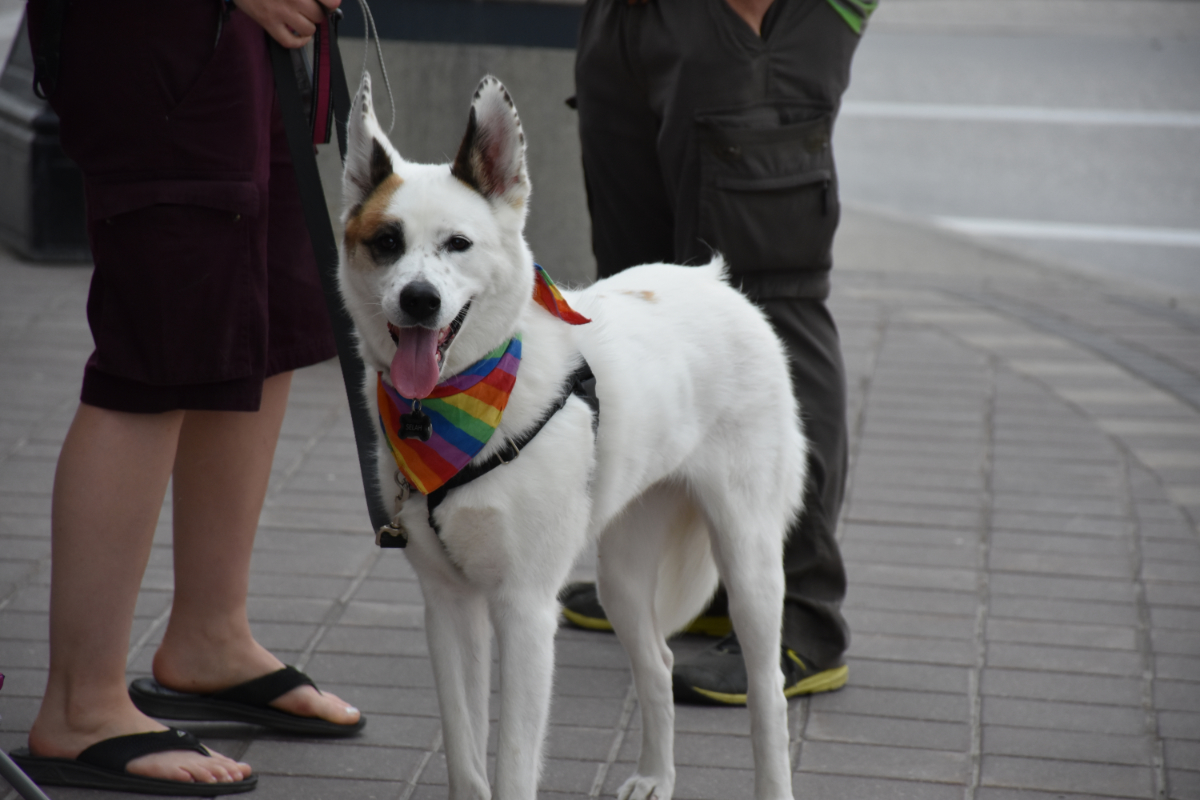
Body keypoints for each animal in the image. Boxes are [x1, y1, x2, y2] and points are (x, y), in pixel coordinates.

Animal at [338, 74, 806, 800]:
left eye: (458, 244)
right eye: (386, 241)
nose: (418, 301)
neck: (451, 409)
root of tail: (715, 281)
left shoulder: (527, 610)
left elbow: (512, 764)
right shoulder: (448, 608)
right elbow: (466, 759)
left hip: (750, 560)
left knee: (768, 692)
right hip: (621, 573)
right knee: (657, 661)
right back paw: (655, 776)